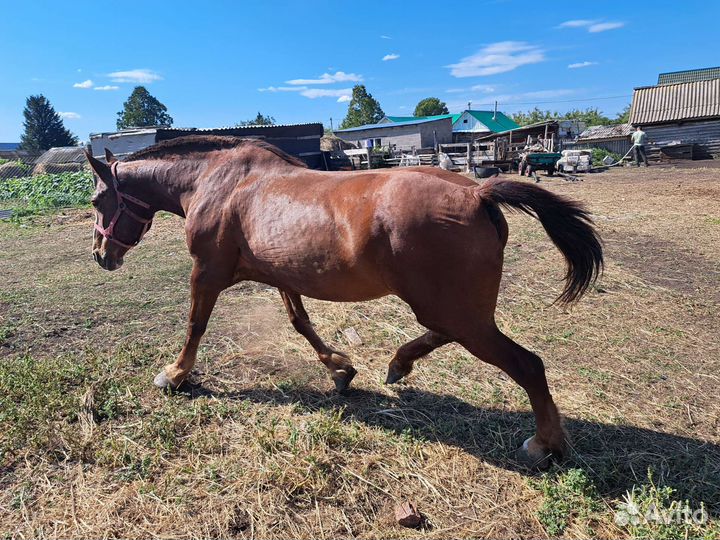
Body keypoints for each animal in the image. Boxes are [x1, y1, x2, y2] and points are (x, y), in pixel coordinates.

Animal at [86, 136, 602, 468]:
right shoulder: (282, 275)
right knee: (446, 335)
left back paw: (545, 444)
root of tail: (477, 190)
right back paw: (399, 364)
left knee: (527, 363)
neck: (217, 184)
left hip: (456, 311)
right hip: (451, 308)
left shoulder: (207, 273)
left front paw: (175, 375)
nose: (101, 256)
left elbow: (196, 324)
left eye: (96, 201)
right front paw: (340, 369)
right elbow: (301, 323)